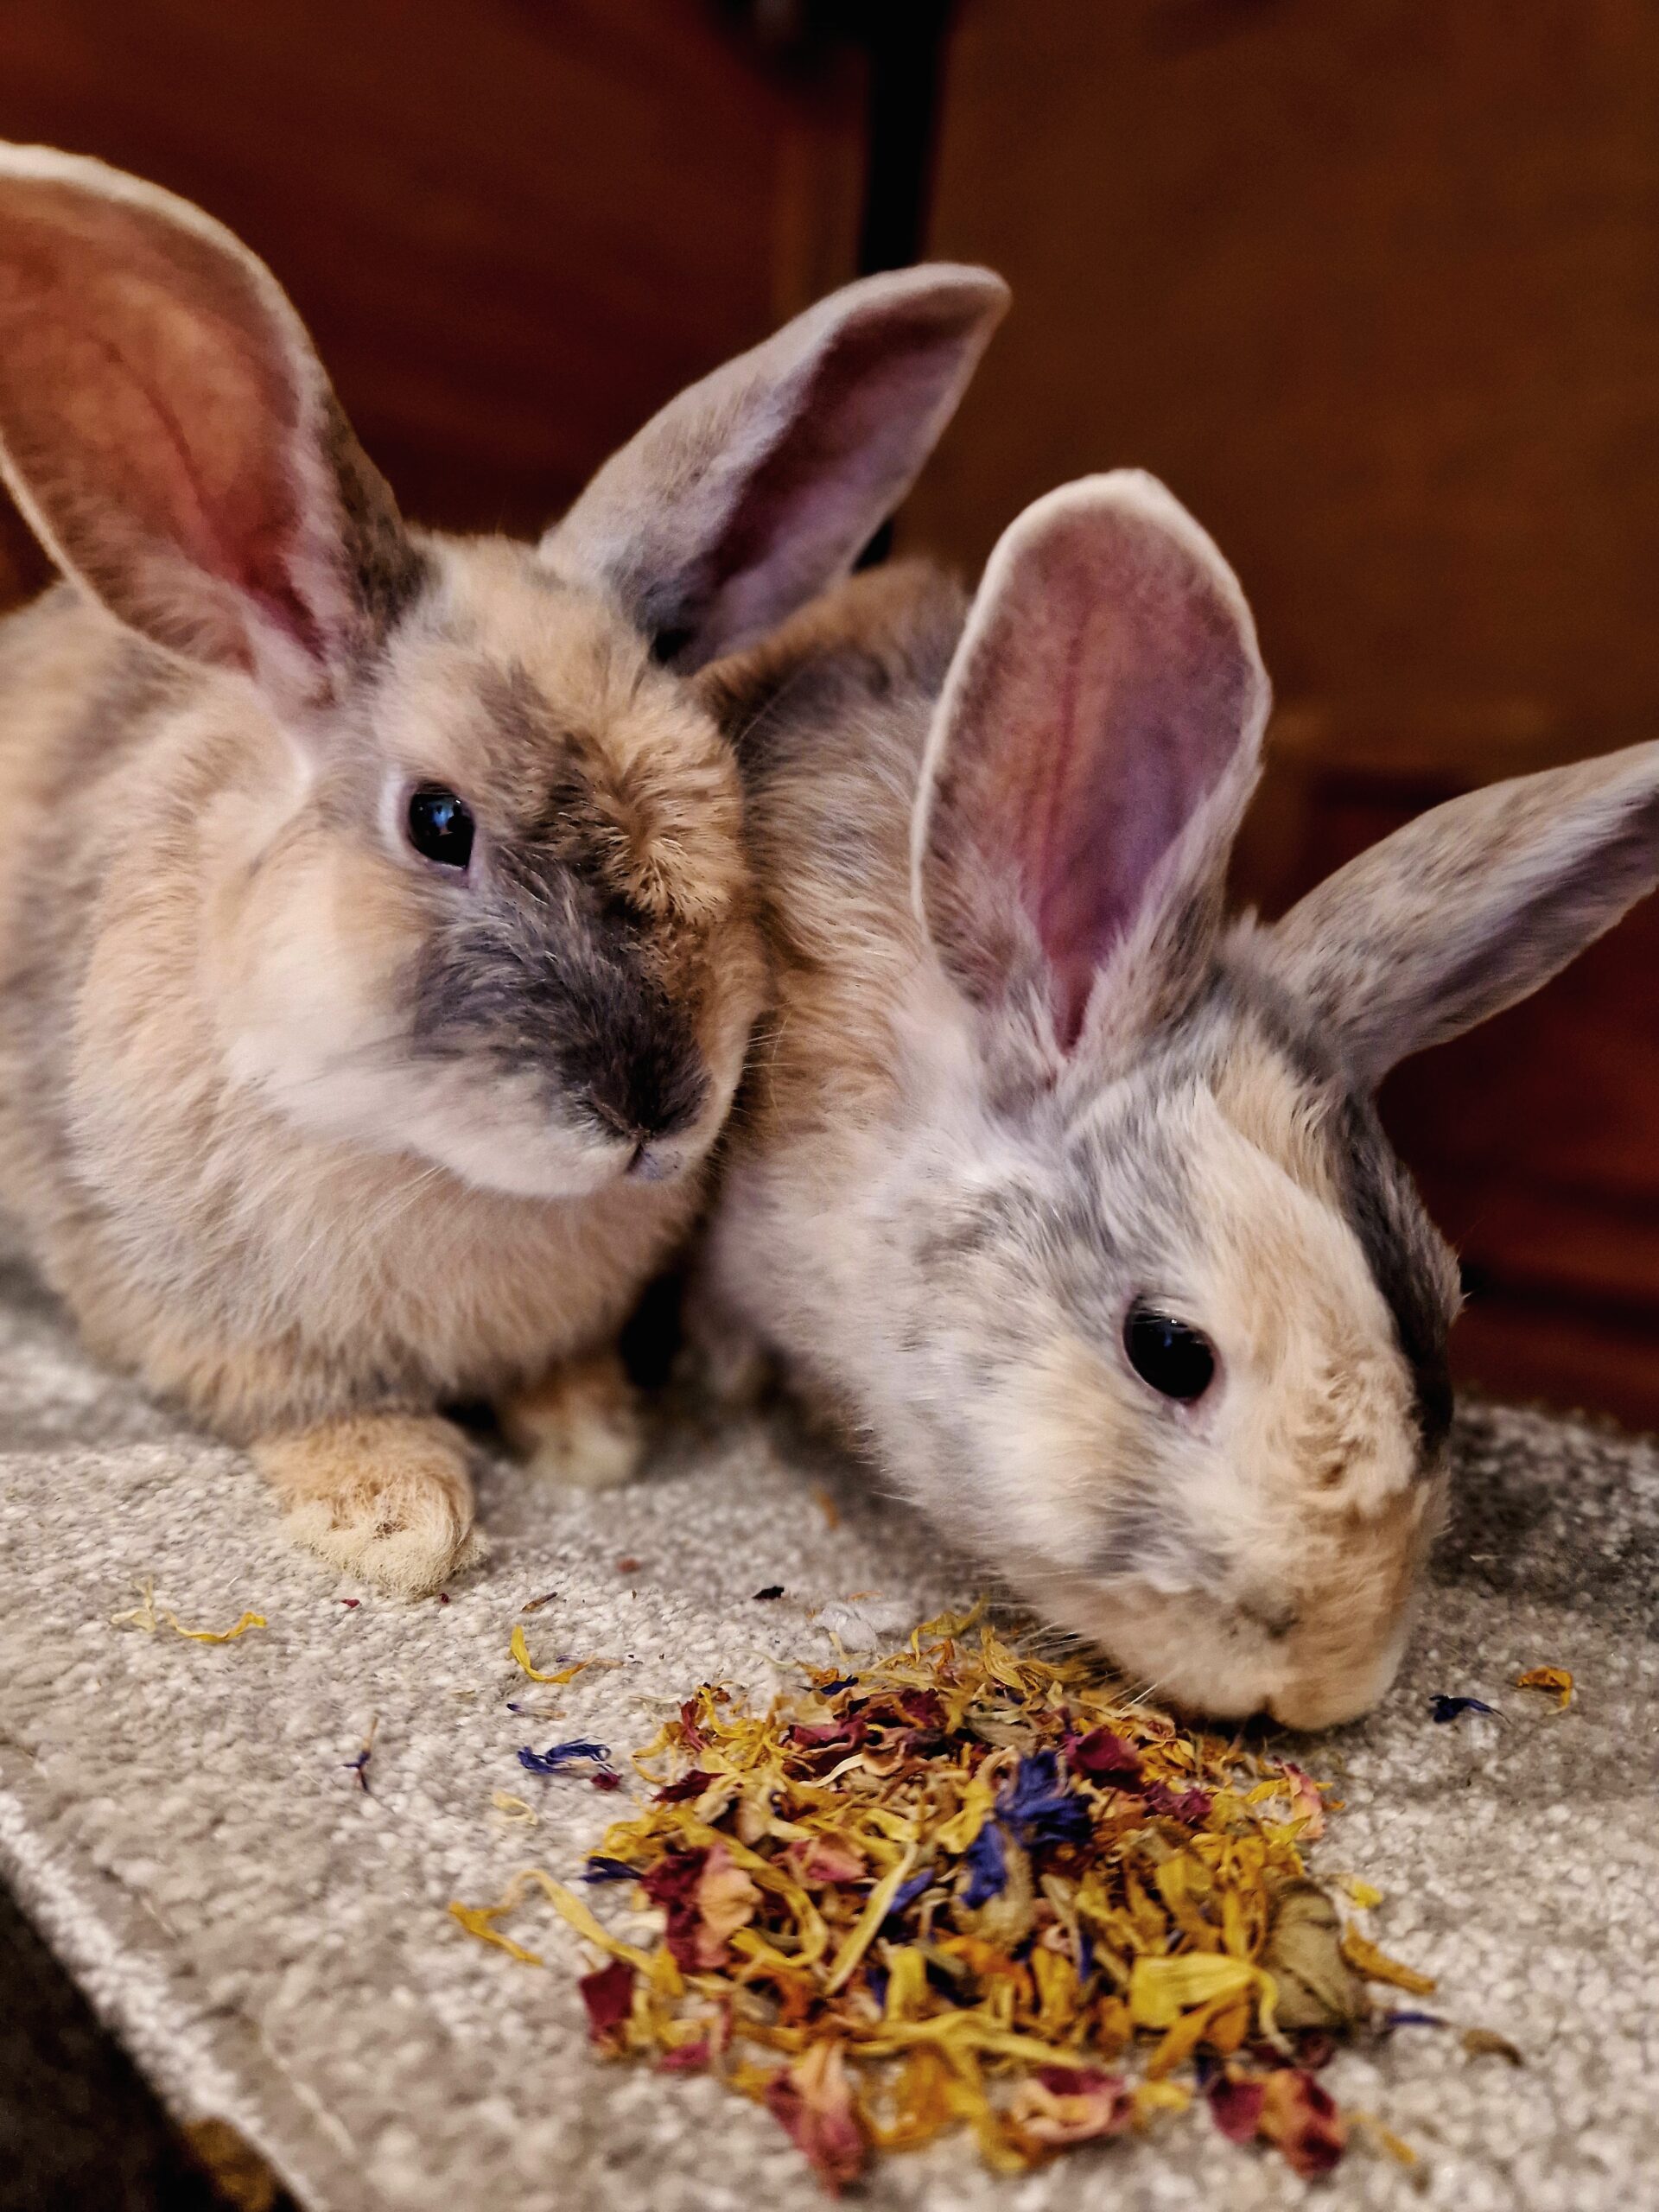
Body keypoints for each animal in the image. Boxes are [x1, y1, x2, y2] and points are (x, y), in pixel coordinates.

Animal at [0, 143, 1013, 1592]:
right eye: (438, 823)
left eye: (728, 802)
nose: (658, 1115)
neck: (437, 1166)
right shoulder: (192, 1308)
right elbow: (307, 1401)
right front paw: (397, 1517)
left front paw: (593, 1439)